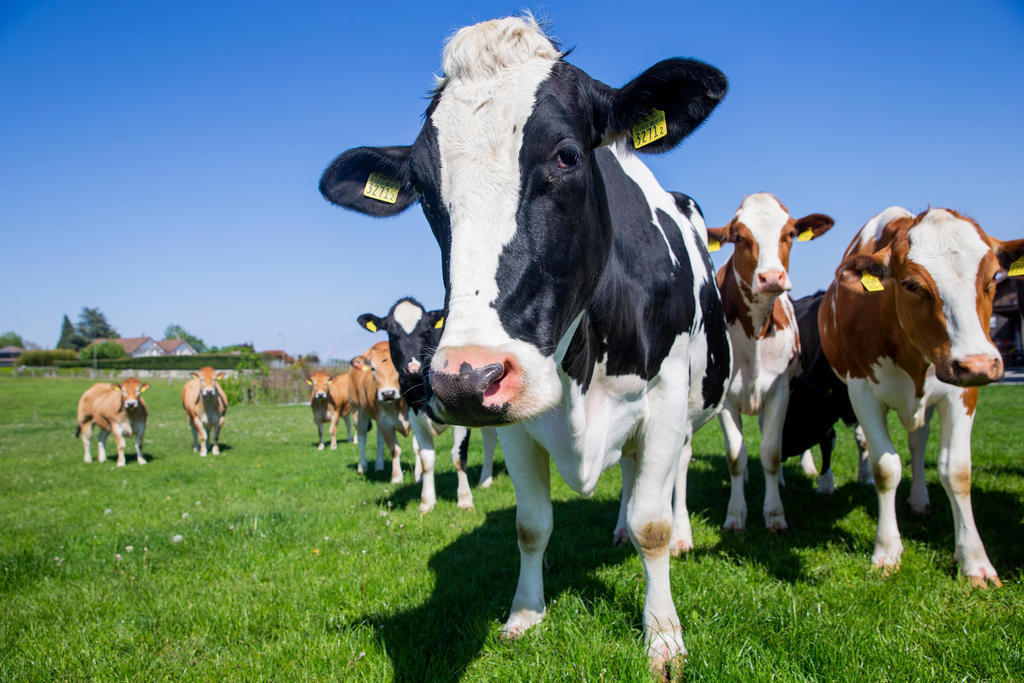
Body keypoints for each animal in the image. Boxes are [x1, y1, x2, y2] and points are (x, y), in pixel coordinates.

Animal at [350, 342, 409, 481]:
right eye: (372, 368)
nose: (388, 394)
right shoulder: (384, 422)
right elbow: (394, 449)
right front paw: (396, 477)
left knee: (379, 441)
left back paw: (379, 465)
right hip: (358, 412)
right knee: (361, 438)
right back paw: (362, 466)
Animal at [358, 296, 497, 516]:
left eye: (425, 332)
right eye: (392, 334)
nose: (412, 368)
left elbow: (458, 456)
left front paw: (465, 499)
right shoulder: (415, 416)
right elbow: (426, 459)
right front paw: (427, 501)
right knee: (490, 439)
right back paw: (485, 480)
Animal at [708, 194, 835, 532]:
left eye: (789, 233)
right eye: (739, 237)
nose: (772, 278)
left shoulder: (779, 391)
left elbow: (772, 452)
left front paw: (775, 514)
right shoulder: (726, 400)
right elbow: (735, 456)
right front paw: (736, 514)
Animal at [823, 205, 1024, 585]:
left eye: (992, 277)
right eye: (912, 284)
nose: (978, 364)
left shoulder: (961, 394)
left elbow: (957, 471)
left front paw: (975, 561)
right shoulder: (861, 391)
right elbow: (886, 467)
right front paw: (887, 552)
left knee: (918, 442)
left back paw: (919, 500)